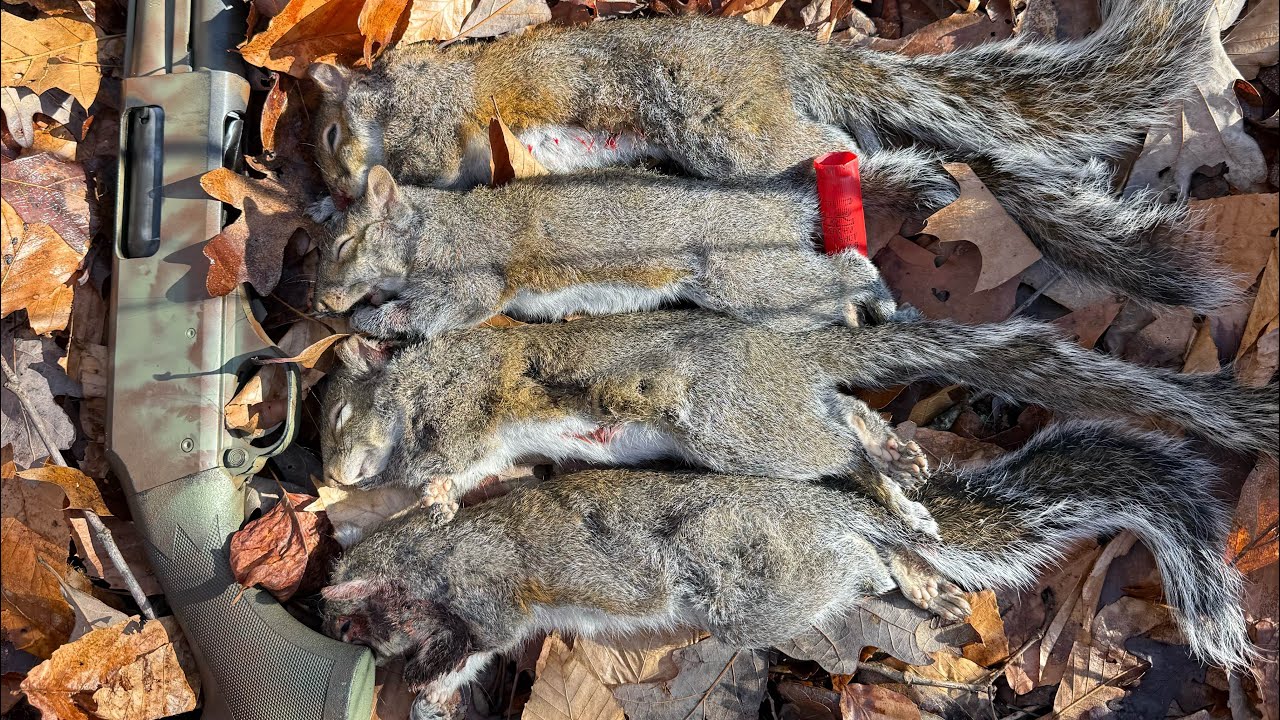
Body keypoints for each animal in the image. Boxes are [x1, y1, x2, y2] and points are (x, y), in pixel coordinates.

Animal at [306, 0, 1237, 311]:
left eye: (327, 135)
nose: (333, 186)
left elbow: (436, 173)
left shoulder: (437, 128)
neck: (395, 91)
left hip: (730, 127)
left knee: (831, 147)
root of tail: (783, 57)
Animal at [310, 164, 951, 337]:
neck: (430, 228)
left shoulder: (470, 277)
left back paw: (875, 298)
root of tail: (779, 201)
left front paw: (372, 318)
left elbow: (439, 312)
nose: (321, 303)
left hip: (749, 276)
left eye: (344, 243)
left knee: (845, 269)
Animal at [321, 420, 1254, 712]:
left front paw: (432, 686)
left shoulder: (485, 585)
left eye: (360, 620)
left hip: (754, 583)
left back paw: (887, 577)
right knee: (885, 557)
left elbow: (482, 635)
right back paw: (917, 574)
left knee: (858, 572)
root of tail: (841, 512)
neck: (424, 554)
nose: (361, 649)